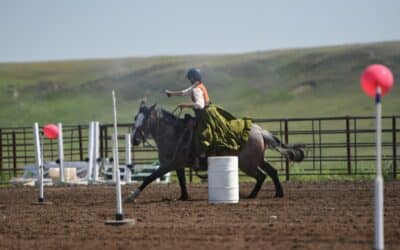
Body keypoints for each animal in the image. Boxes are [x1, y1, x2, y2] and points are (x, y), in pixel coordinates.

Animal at [126, 102, 306, 202]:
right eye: (135, 118)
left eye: (145, 119)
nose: (134, 139)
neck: (174, 133)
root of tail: (260, 131)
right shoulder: (178, 164)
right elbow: (182, 182)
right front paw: (184, 197)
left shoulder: (170, 164)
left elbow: (150, 177)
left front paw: (132, 196)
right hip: (257, 160)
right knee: (272, 171)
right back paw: (278, 193)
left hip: (246, 164)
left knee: (261, 176)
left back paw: (252, 195)